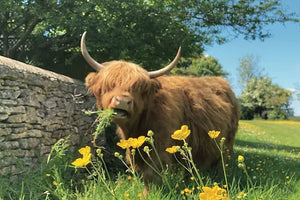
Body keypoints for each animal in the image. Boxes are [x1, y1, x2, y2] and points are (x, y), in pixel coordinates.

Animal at [81, 32, 240, 188]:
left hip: (227, 141)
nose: (123, 101)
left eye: (139, 88)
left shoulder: (160, 142)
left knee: (222, 162)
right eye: (109, 85)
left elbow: (151, 173)